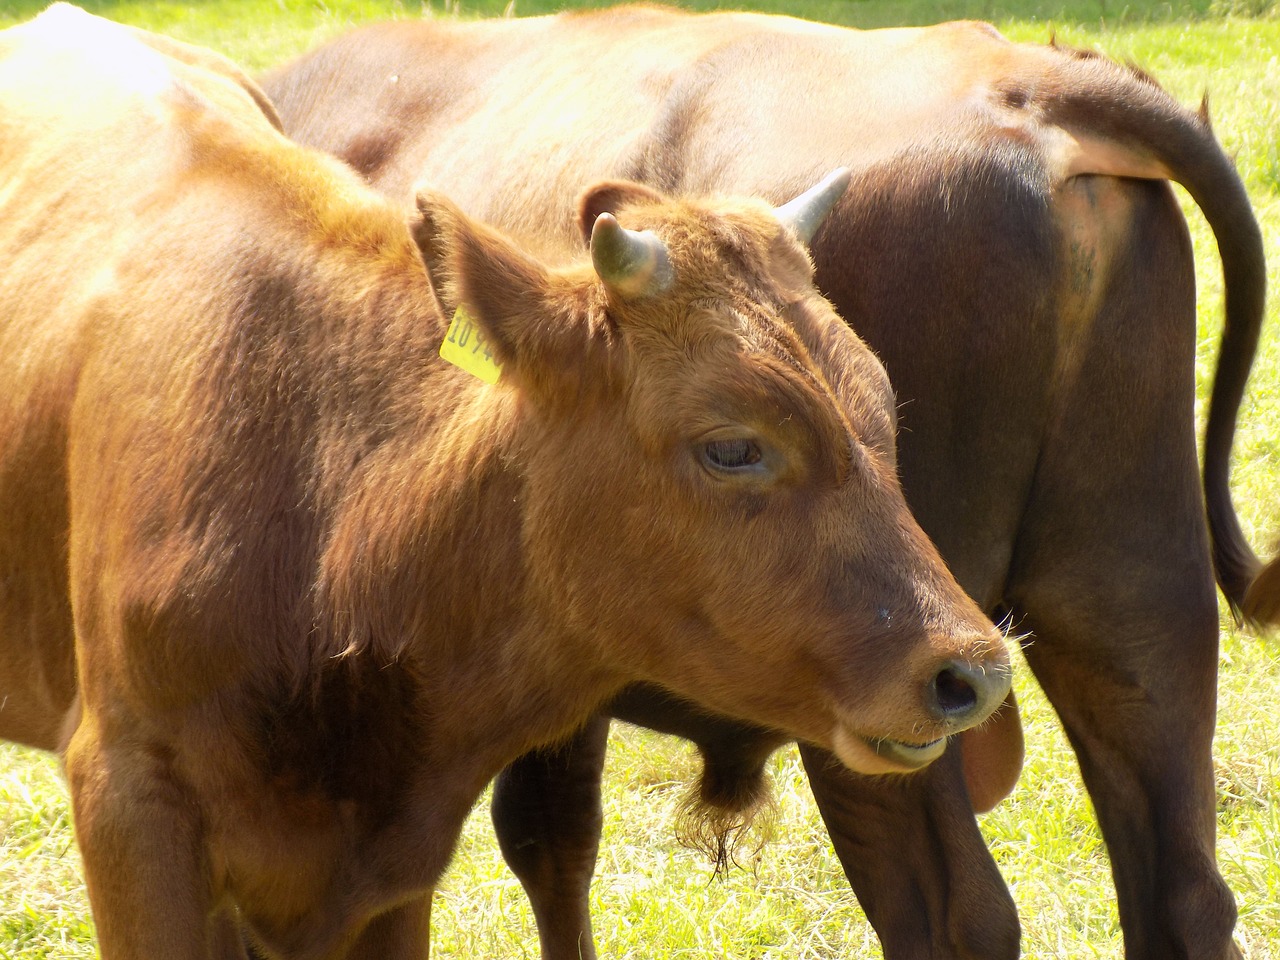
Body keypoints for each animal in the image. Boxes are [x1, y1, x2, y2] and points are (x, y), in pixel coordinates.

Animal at [264, 7, 1274, 960]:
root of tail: (1031, 87)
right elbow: (554, 842)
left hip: (904, 703)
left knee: (955, 914)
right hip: (1131, 608)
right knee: (1185, 895)